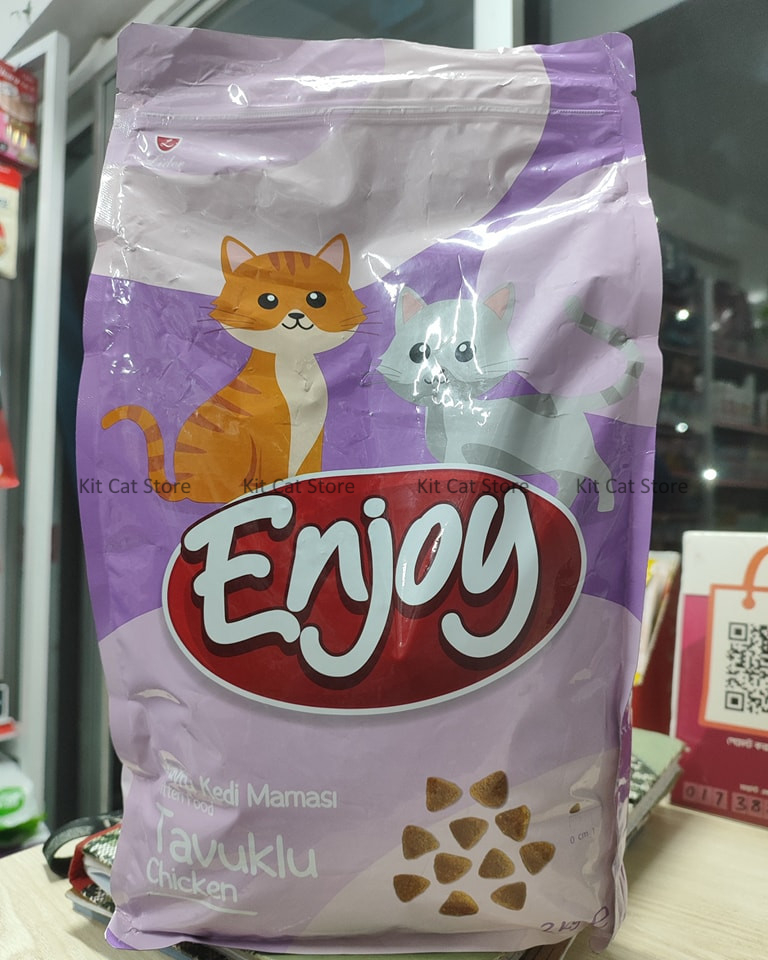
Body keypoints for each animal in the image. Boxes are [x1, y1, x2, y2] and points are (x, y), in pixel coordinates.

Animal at [102, 234, 365, 503]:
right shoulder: (271, 440)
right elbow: (277, 469)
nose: (296, 316)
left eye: (316, 298)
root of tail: (183, 484)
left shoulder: (313, 438)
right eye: (268, 300)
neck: (291, 361)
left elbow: (310, 468)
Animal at [377, 285, 643, 512]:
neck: (444, 413)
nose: (439, 373)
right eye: (418, 352)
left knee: (588, 474)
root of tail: (570, 401)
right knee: (589, 474)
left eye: (465, 351)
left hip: (564, 455)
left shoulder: (458, 450)